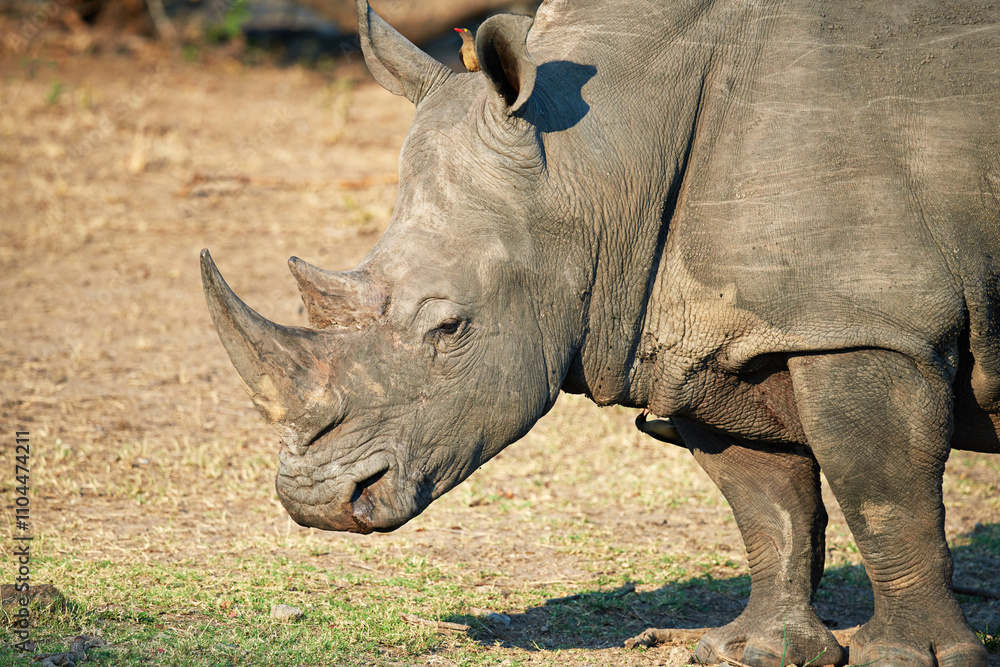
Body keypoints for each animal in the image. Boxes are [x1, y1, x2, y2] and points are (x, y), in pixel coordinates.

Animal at [200, 0, 1000, 665]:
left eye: (450, 328)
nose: (315, 502)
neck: (603, 160)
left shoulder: (869, 323)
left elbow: (885, 493)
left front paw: (909, 659)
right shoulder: (710, 341)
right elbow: (769, 504)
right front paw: (756, 650)